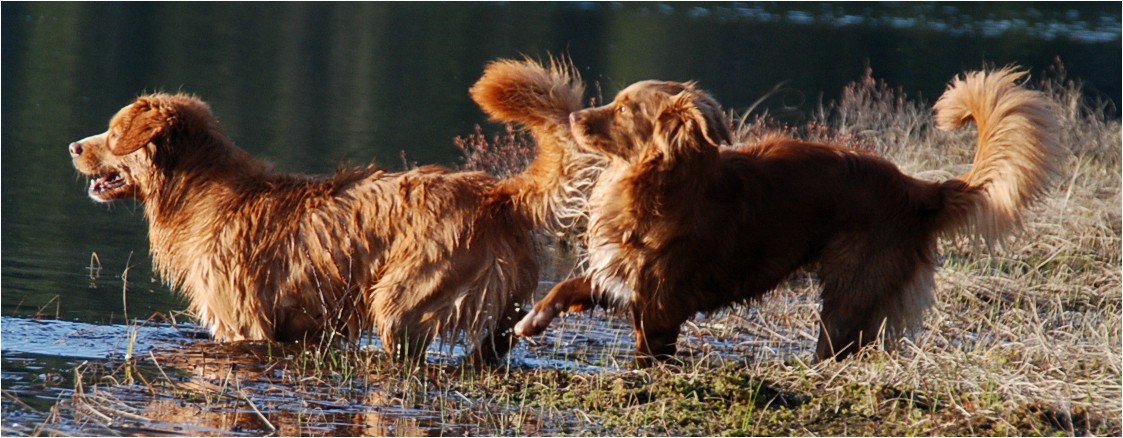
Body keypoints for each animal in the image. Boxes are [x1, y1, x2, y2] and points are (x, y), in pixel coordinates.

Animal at [516, 69, 1060, 361]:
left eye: (627, 109)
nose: (572, 117)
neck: (655, 182)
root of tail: (916, 188)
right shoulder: (622, 276)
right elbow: (567, 286)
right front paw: (530, 321)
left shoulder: (660, 307)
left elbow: (647, 355)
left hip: (848, 296)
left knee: (837, 344)